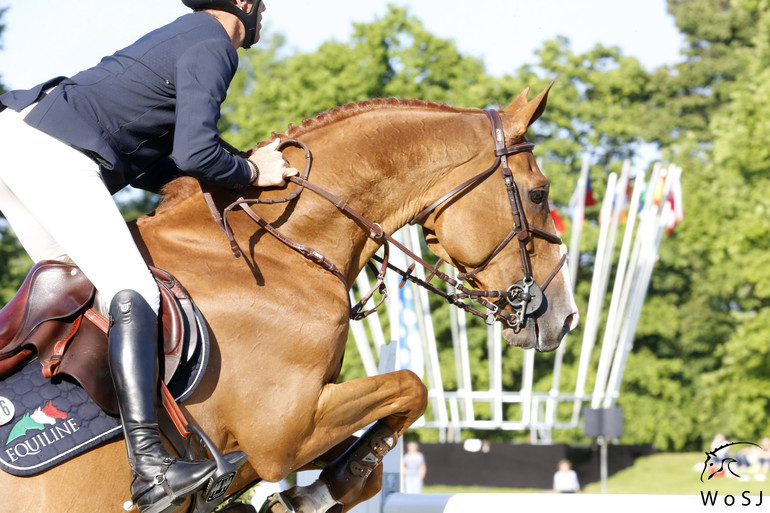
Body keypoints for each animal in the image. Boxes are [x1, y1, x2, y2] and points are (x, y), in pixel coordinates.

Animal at [0, 86, 572, 510]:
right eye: (539, 193)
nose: (564, 318)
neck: (277, 253)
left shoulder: (303, 423)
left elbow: (377, 449)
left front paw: (312, 494)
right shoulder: (284, 434)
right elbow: (410, 386)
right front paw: (318, 493)